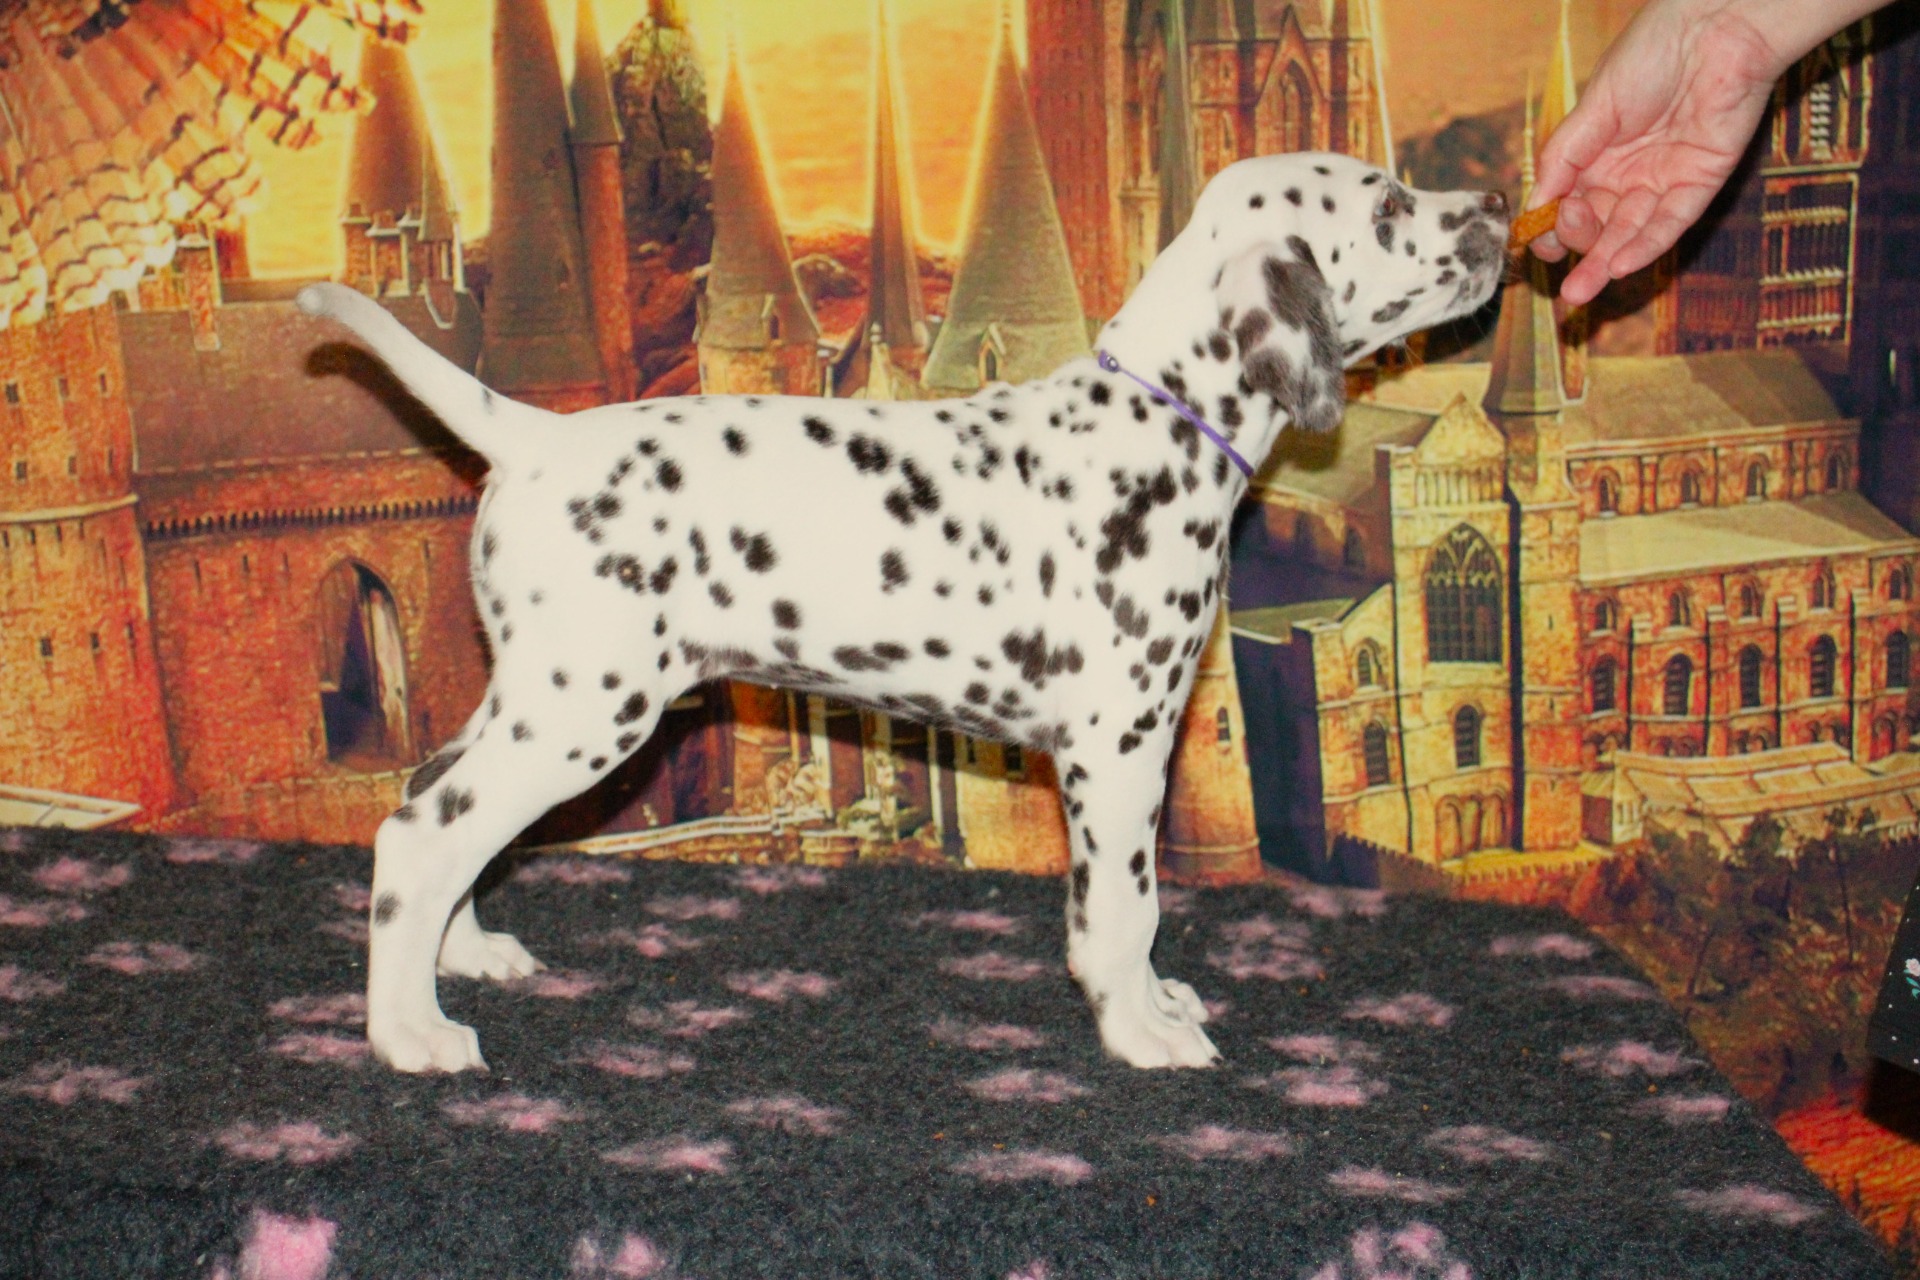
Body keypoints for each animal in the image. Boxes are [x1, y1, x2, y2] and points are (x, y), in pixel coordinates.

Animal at [297, 150, 1510, 1074]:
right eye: (1389, 206)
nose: (1499, 206)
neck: (1154, 424)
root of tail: (535, 436)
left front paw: (1156, 1002)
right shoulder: (1117, 750)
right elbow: (1123, 909)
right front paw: (1139, 1030)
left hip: (534, 700)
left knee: (432, 796)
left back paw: (463, 953)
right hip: (583, 713)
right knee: (419, 833)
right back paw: (409, 1034)